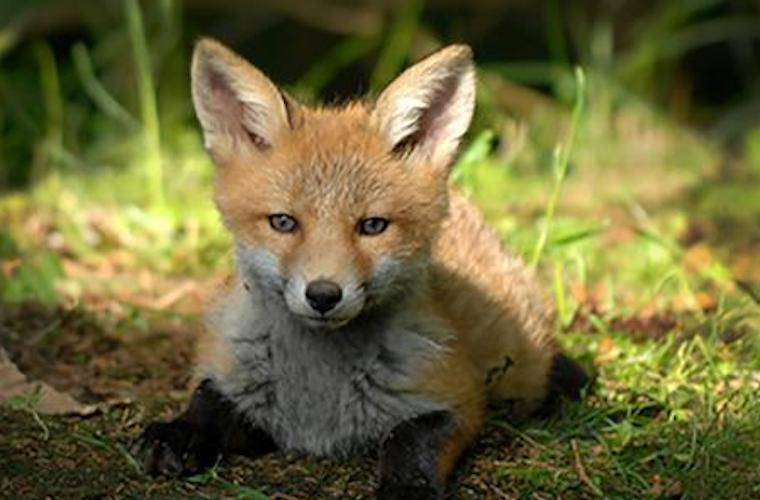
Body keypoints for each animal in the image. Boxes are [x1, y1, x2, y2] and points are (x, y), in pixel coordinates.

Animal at [130, 38, 589, 499]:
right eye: (283, 222)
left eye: (372, 226)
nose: (323, 295)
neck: (318, 398)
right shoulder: (232, 374)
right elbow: (206, 403)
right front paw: (177, 434)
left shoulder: (456, 397)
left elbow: (406, 439)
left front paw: (407, 488)